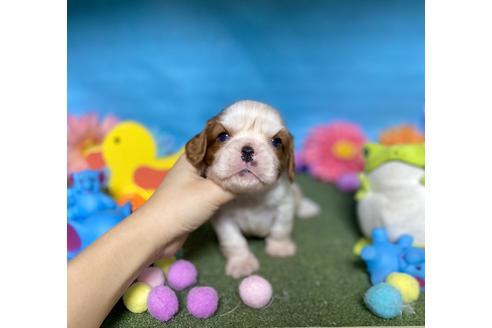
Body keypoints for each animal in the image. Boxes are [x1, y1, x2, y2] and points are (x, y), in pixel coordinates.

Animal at [185, 100, 320, 280]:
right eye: (222, 136)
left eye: (277, 142)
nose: (248, 150)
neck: (251, 196)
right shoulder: (223, 217)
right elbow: (234, 241)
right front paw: (242, 263)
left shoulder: (284, 205)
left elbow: (281, 229)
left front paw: (280, 248)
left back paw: (308, 208)